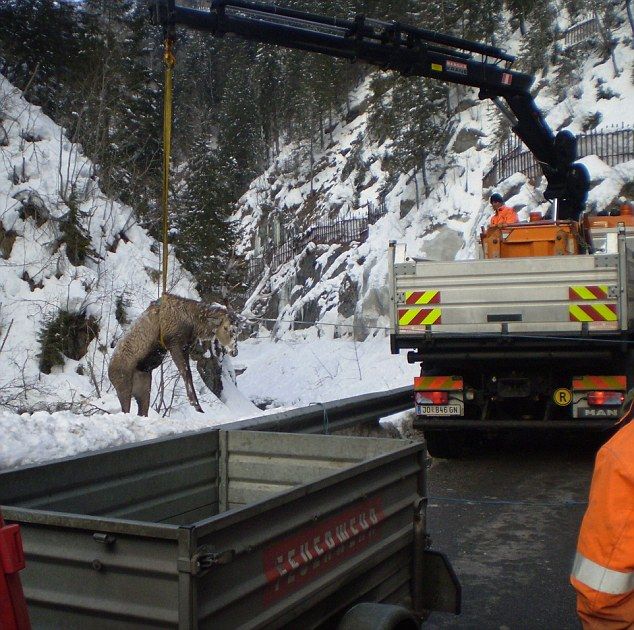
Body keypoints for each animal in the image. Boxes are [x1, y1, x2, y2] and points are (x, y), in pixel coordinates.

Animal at [108, 294, 239, 418]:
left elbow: (187, 372)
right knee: (126, 409)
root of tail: (109, 372)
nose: (234, 352)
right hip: (123, 384)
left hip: (144, 387)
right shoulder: (174, 342)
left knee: (142, 411)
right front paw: (196, 405)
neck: (194, 325)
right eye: (226, 328)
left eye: (238, 330)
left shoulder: (185, 347)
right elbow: (186, 373)